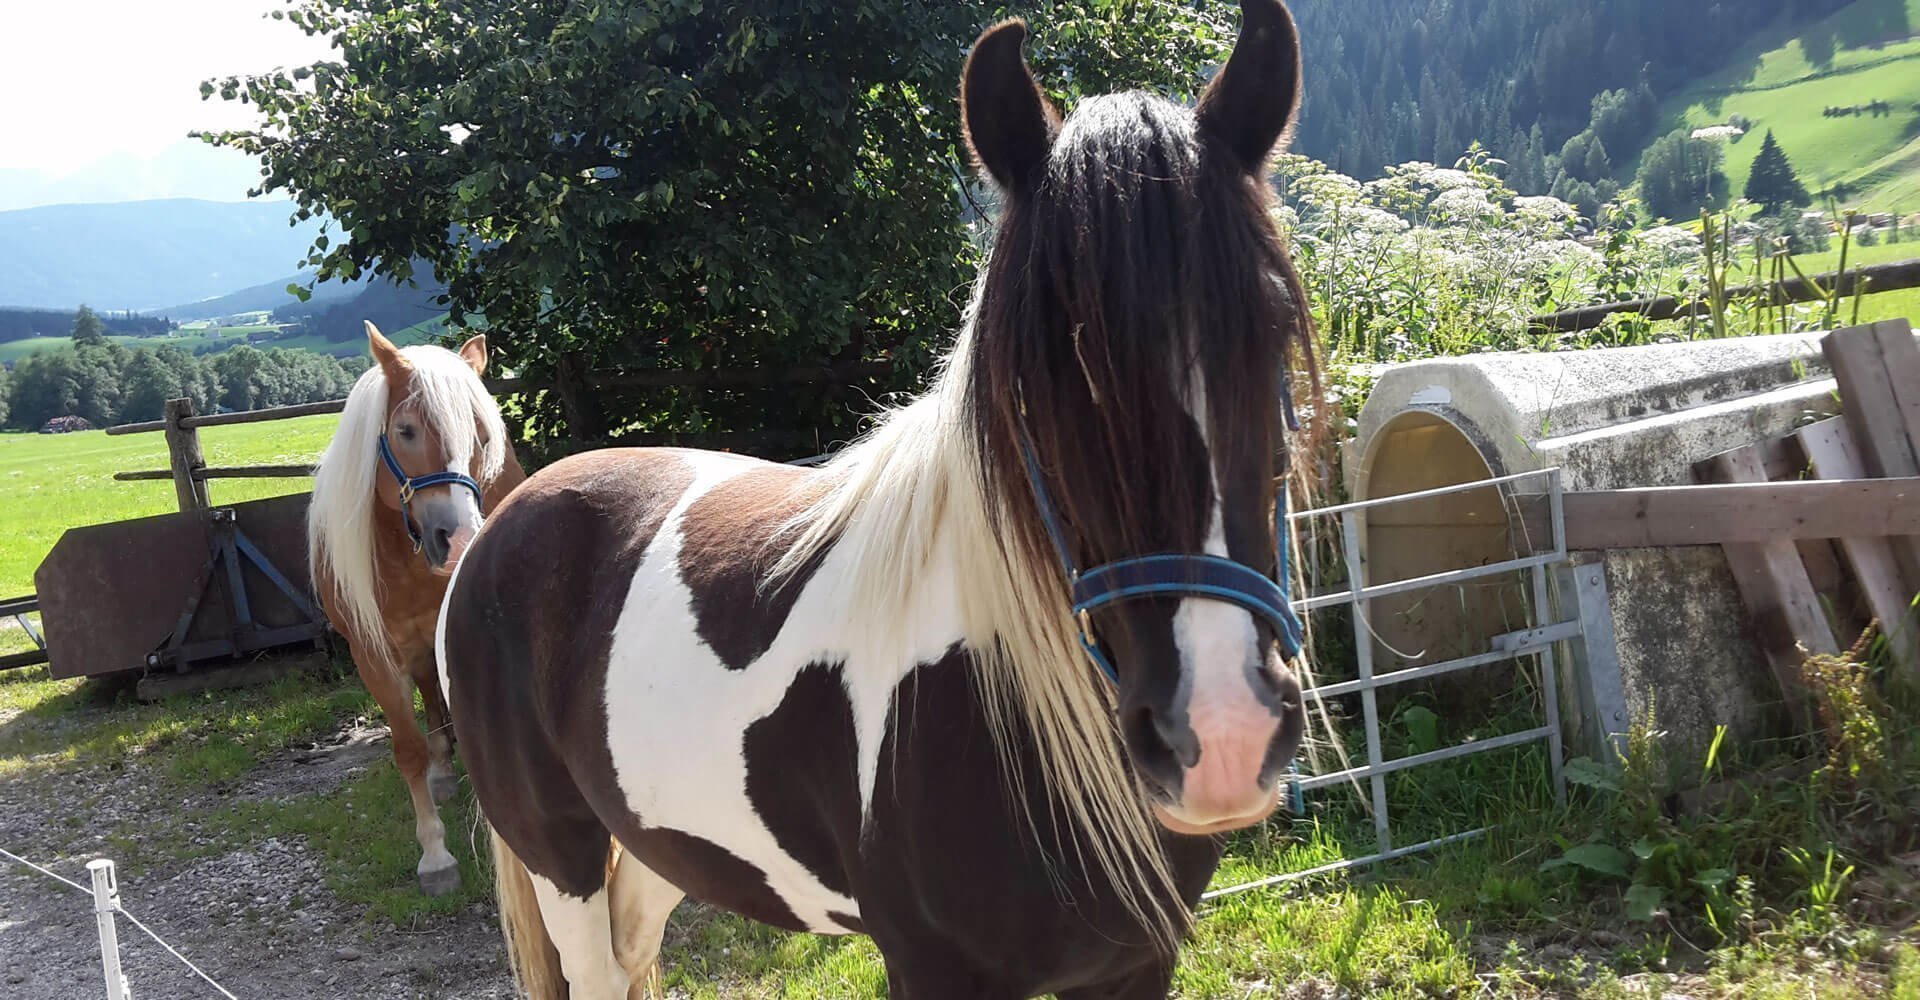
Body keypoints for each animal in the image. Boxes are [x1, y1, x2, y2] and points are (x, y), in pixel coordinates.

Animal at [311, 322, 529, 898]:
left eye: (482, 435)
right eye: (405, 430)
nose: (458, 540)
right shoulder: (373, 655)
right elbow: (407, 747)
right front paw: (435, 853)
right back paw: (440, 772)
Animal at [441, 1, 1320, 990]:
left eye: (1270, 328)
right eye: (1035, 379)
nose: (1222, 733)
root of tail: (503, 523)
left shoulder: (1136, 965)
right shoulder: (932, 967)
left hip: (661, 845)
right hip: (559, 853)